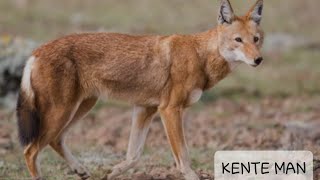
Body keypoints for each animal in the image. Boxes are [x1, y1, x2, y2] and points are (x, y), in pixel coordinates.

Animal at [15, 0, 264, 179]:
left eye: (256, 39)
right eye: (238, 40)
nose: (258, 60)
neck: (200, 56)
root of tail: (35, 51)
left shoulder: (145, 109)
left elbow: (134, 156)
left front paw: (113, 172)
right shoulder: (169, 110)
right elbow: (183, 159)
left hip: (81, 107)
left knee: (55, 140)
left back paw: (81, 170)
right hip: (62, 112)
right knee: (31, 151)